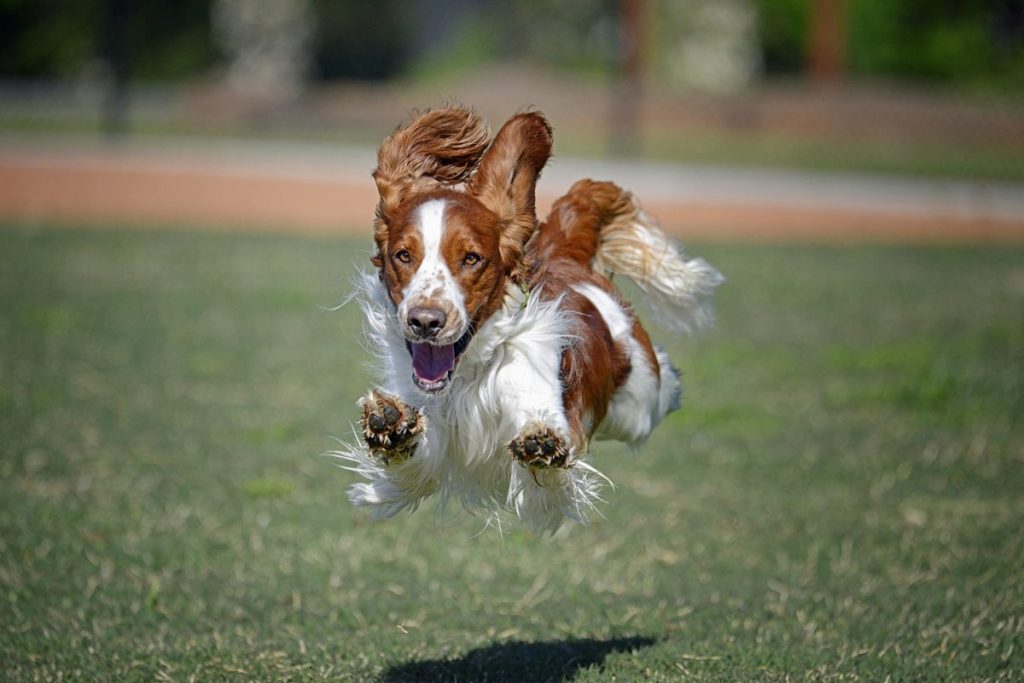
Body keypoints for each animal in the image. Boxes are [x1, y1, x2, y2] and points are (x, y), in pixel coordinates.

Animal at [335, 107, 720, 532]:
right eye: (403, 255)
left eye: (471, 258)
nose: (425, 321)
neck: (469, 374)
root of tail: (561, 252)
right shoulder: (428, 426)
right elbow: (417, 458)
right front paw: (391, 423)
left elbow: (546, 455)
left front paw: (541, 442)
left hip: (639, 403)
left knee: (660, 385)